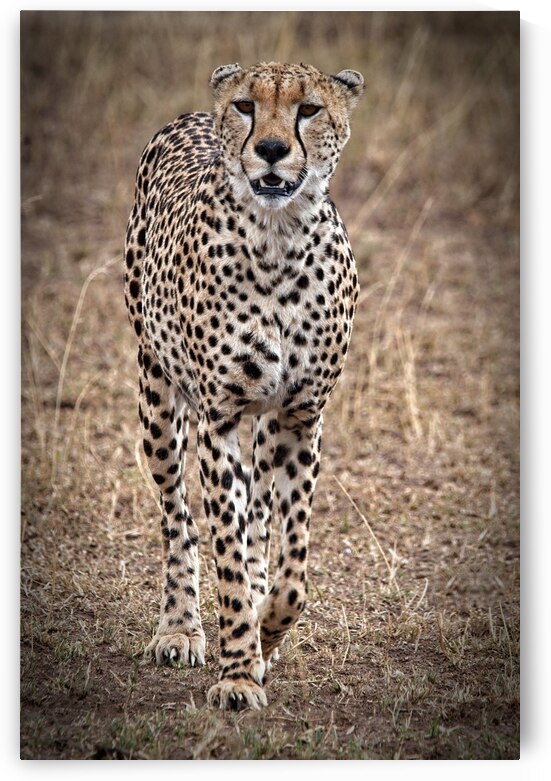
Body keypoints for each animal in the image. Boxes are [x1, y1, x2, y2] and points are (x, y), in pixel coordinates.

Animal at [124, 61, 364, 710]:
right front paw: (236, 670)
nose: (272, 150)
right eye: (245, 106)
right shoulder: (221, 417)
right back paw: (181, 628)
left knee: (258, 516)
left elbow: (293, 565)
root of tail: (186, 117)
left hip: (267, 423)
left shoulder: (302, 416)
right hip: (157, 398)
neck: (278, 236)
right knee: (178, 520)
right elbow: (226, 552)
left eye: (308, 109)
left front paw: (267, 632)